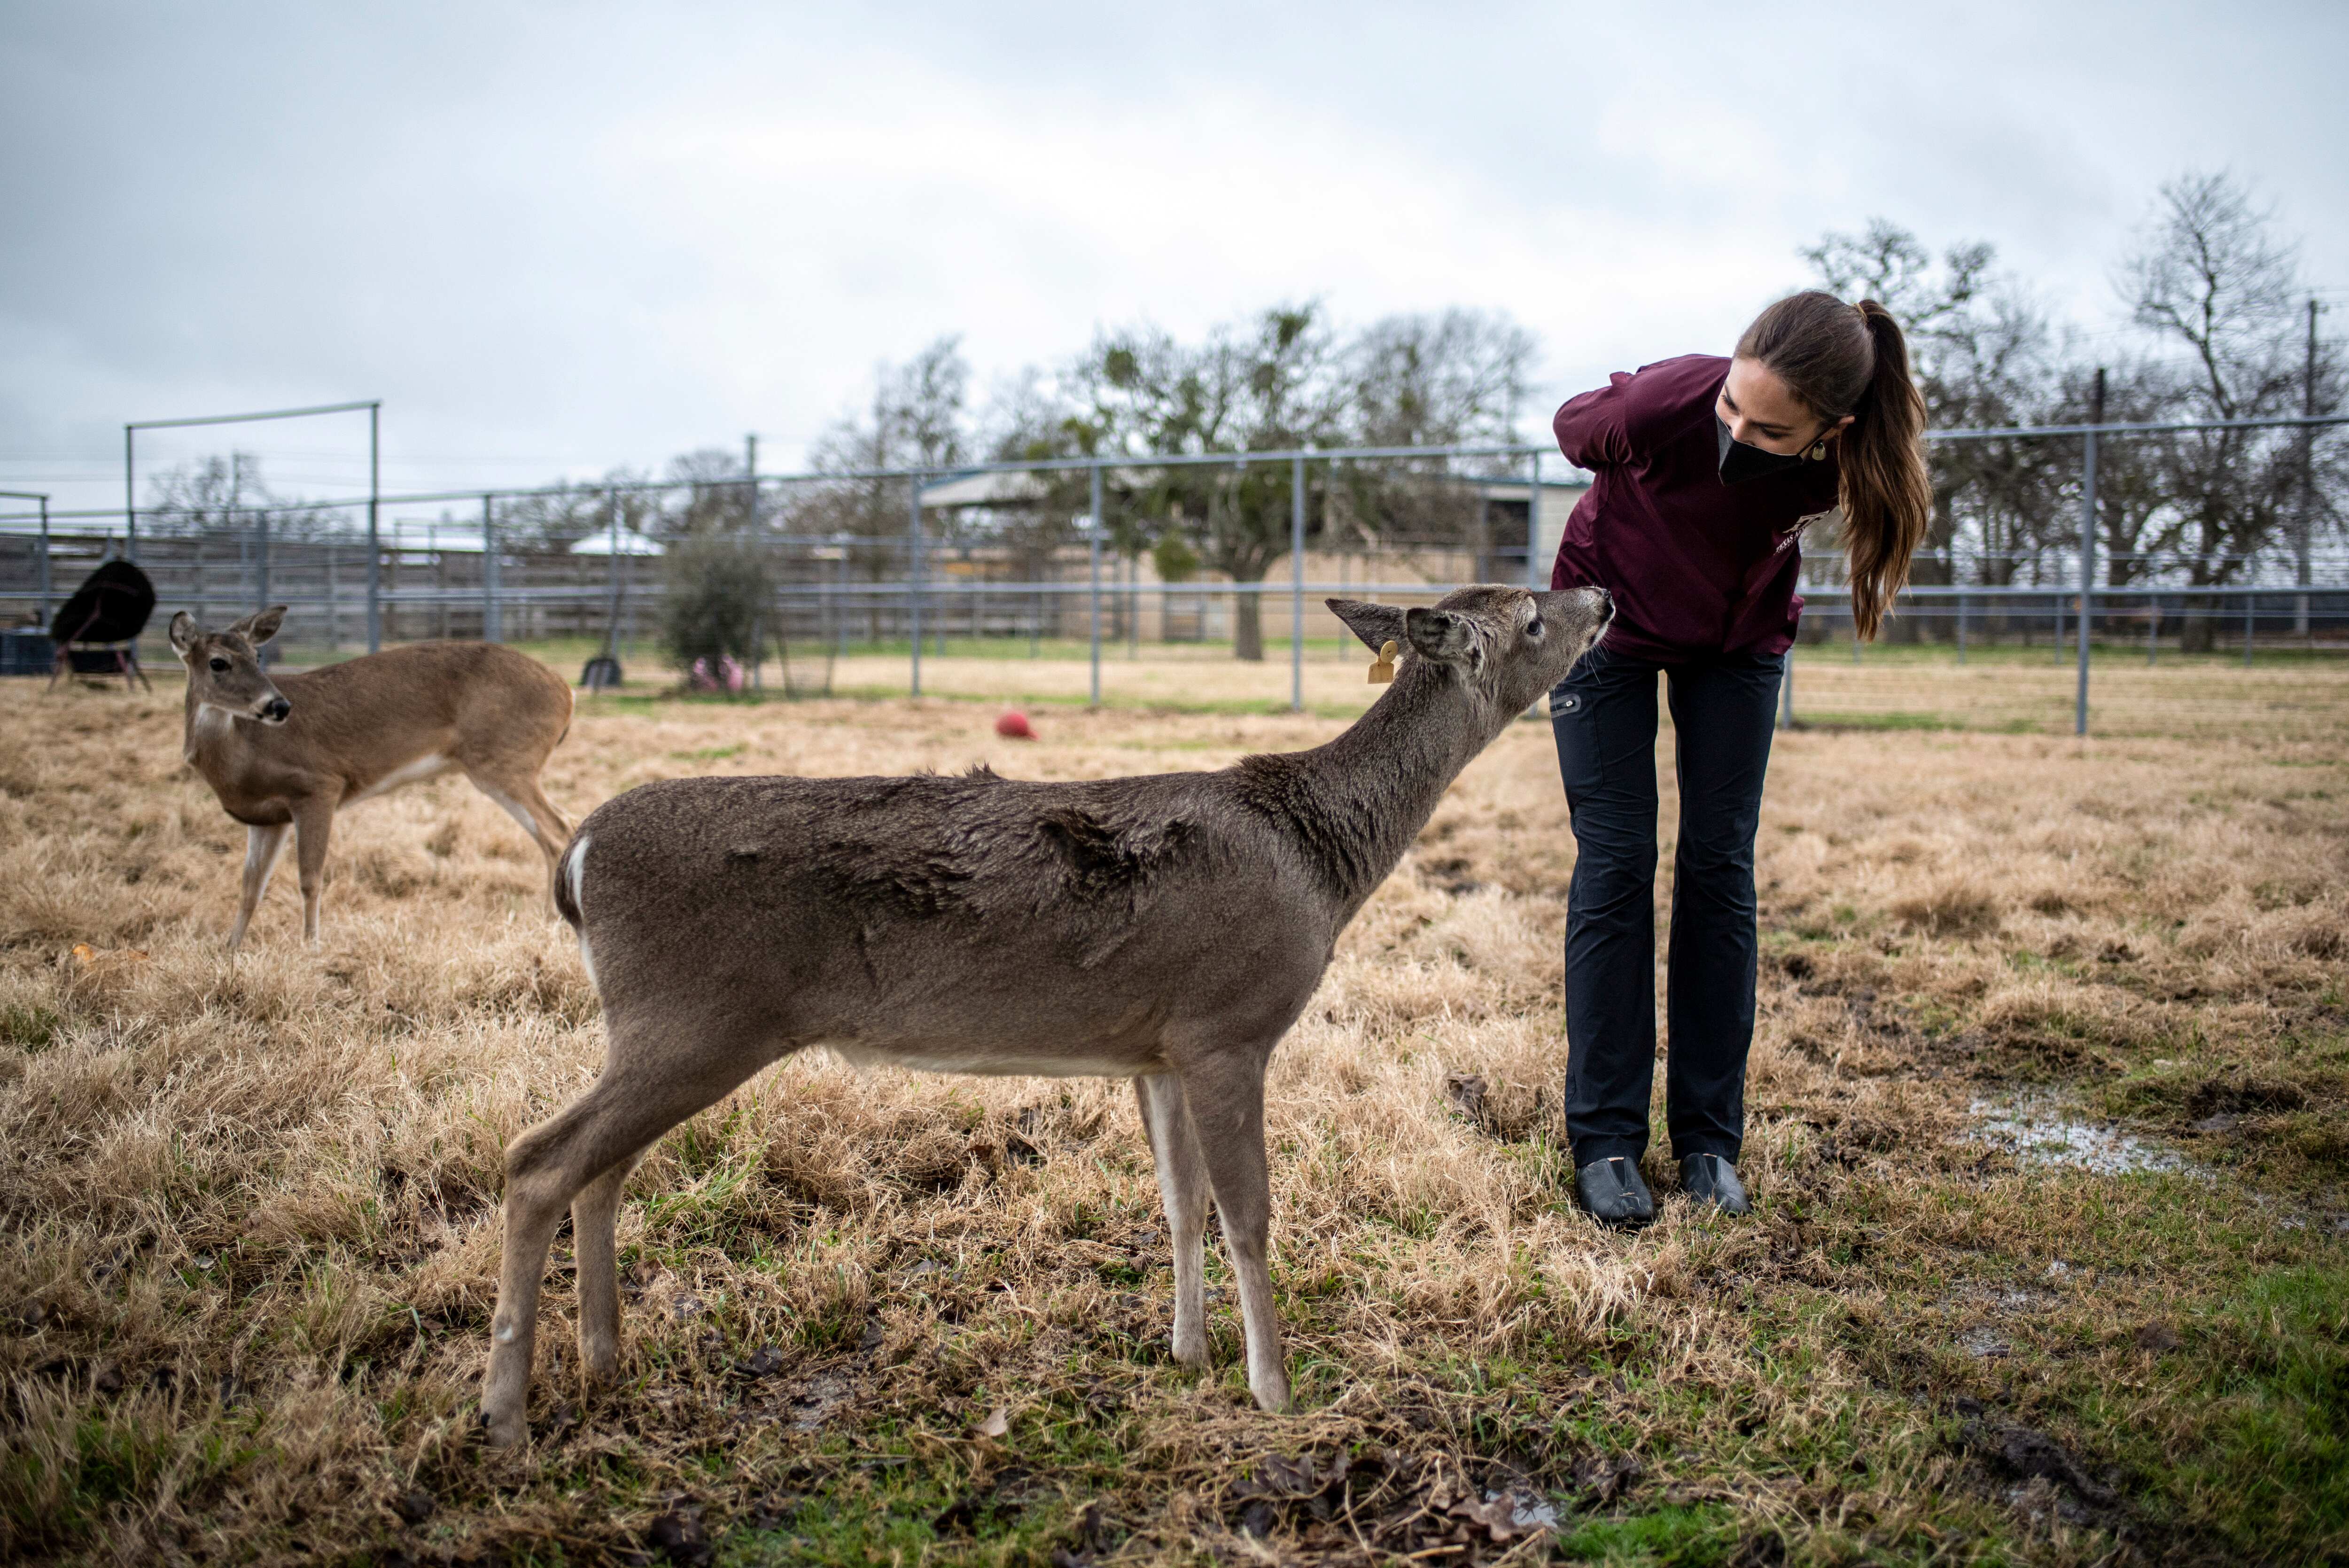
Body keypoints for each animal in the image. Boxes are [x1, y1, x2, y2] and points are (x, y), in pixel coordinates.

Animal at [167, 607, 577, 949]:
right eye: (218, 663)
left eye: (257, 657)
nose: (278, 706)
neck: (241, 756)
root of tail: (567, 693)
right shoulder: (267, 817)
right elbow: (250, 885)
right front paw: (230, 949)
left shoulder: (318, 785)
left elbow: (310, 878)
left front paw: (311, 947)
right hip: (507, 763)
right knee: (555, 830)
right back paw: (550, 918)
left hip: (505, 759)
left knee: (559, 829)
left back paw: (556, 921)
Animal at [480, 583, 1612, 1447]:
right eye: (1530, 620)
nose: (1600, 596)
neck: (1320, 861)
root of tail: (576, 860)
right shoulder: (1228, 1024)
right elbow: (1248, 1213)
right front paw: (1276, 1390)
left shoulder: (1156, 1046)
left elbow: (1179, 1205)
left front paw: (1188, 1353)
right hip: (695, 1016)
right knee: (538, 1158)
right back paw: (505, 1414)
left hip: (663, 1027)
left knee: (598, 1166)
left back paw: (604, 1360)